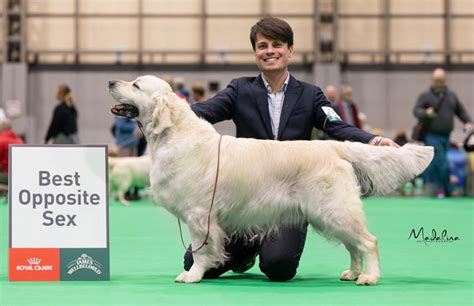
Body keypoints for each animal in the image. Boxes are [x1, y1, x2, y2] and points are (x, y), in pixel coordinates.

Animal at [109, 76, 436, 284]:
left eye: (136, 84)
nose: (111, 83)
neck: (175, 134)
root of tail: (333, 146)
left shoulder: (199, 214)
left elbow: (201, 250)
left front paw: (193, 275)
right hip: (329, 214)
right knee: (354, 246)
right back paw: (353, 272)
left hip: (334, 209)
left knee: (368, 242)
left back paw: (370, 276)